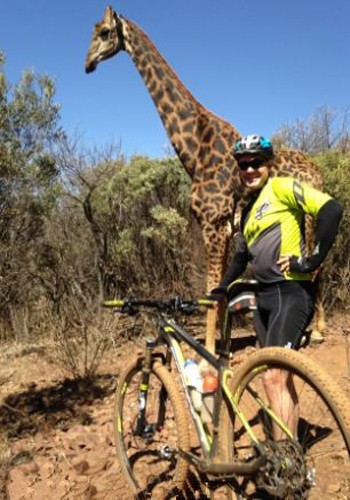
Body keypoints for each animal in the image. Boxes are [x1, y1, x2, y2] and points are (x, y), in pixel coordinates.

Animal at [85, 5, 326, 354]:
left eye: (104, 32)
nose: (88, 63)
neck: (195, 150)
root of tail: (318, 171)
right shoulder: (224, 229)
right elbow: (220, 290)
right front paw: (222, 347)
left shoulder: (211, 224)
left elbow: (211, 291)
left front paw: (210, 352)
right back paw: (310, 330)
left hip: (309, 215)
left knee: (315, 265)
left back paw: (317, 331)